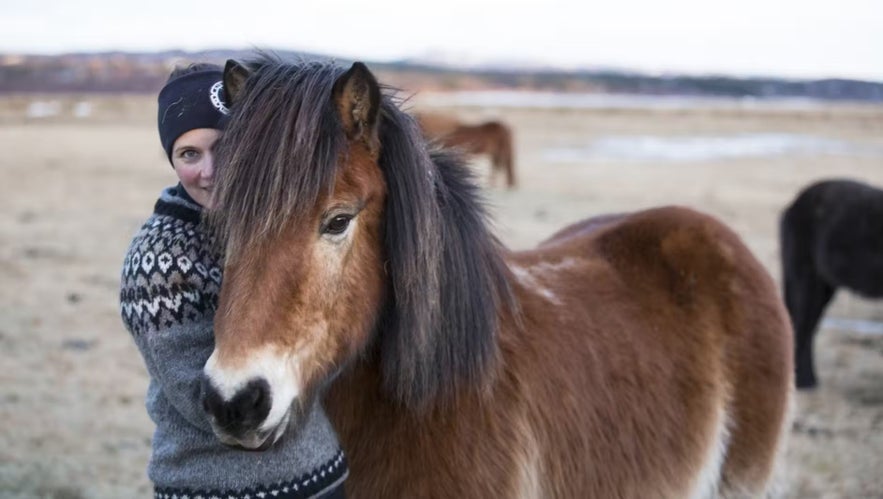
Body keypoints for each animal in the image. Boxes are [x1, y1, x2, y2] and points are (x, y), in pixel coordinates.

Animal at [780, 178, 883, 388]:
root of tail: (793, 204)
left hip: (823, 286)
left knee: (808, 326)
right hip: (804, 278)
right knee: (801, 323)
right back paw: (802, 382)